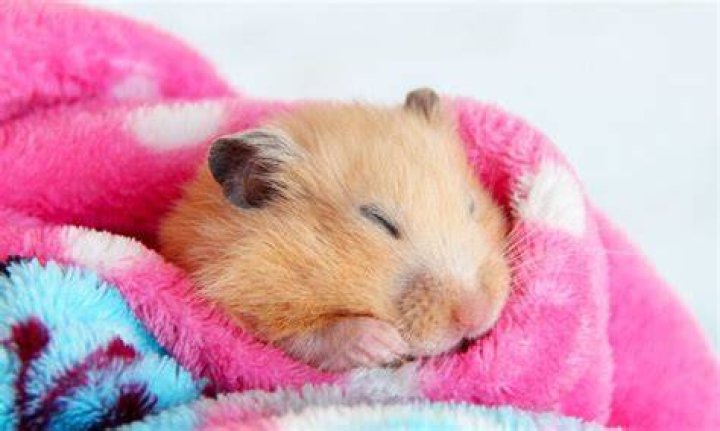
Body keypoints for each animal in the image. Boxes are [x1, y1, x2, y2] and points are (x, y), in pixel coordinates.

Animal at [159, 89, 510, 372]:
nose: (478, 315)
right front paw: (383, 343)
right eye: (379, 220)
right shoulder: (238, 301)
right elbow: (304, 337)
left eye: (471, 206)